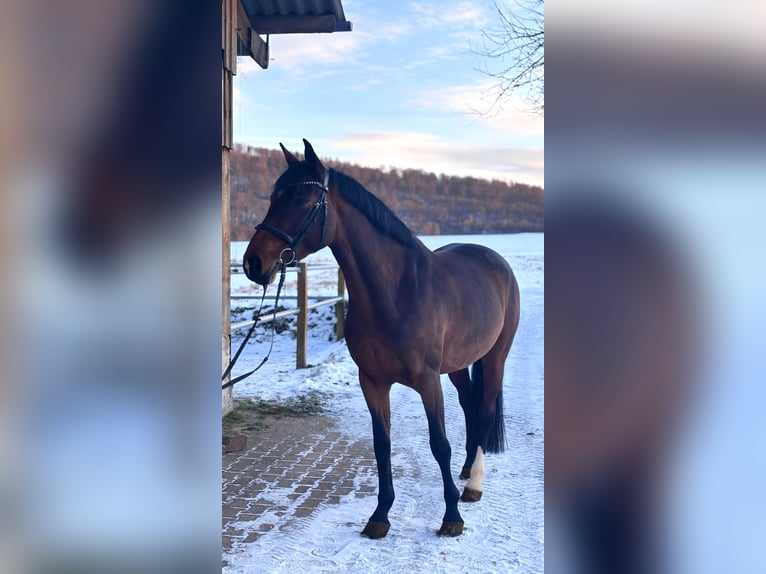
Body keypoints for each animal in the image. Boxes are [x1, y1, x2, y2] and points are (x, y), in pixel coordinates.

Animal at [242, 139, 520, 538]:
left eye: (300, 200)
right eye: (272, 197)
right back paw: (468, 470)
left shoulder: (427, 381)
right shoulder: (372, 381)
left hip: (495, 356)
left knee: (483, 410)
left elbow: (439, 444)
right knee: (469, 404)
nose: (253, 263)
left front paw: (451, 516)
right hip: (458, 363)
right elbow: (381, 444)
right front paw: (380, 515)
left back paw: (473, 485)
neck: (395, 292)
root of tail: (494, 260)